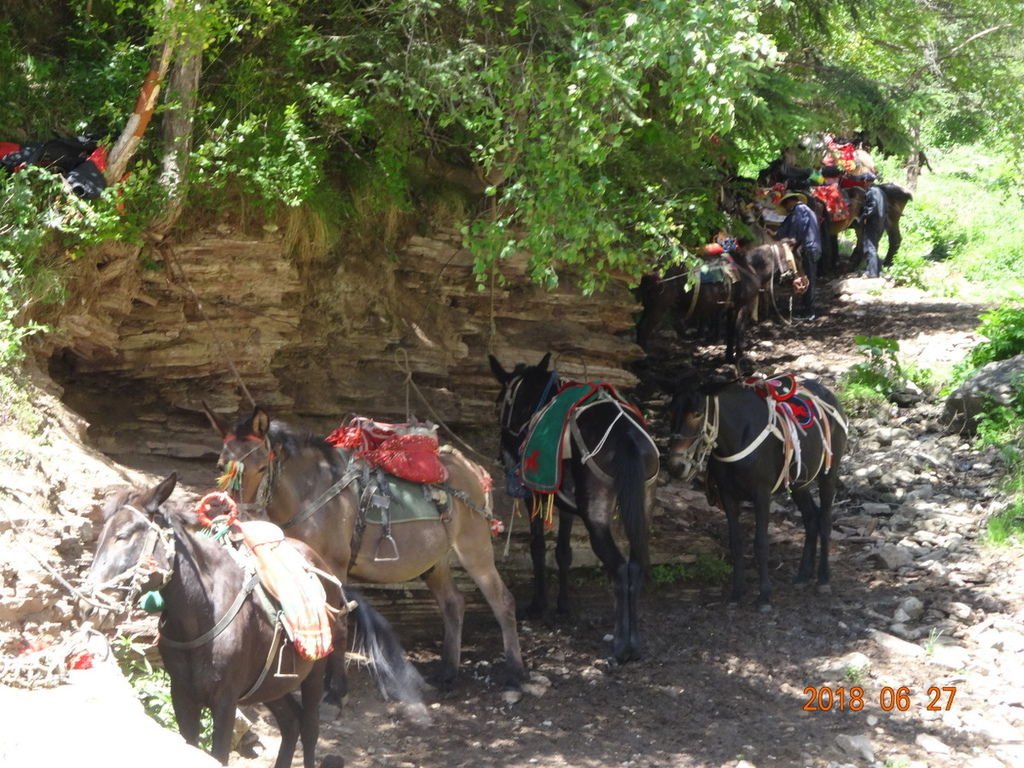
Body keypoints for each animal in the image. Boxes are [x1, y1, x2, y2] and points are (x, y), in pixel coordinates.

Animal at [84, 475, 415, 768]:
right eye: (100, 537)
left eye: (124, 535)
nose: (90, 602)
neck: (202, 610)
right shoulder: (182, 697)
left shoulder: (225, 702)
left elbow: (218, 756)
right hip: (270, 683)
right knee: (291, 721)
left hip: (314, 671)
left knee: (309, 729)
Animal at [206, 405, 528, 688]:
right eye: (220, 466)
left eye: (262, 468)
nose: (237, 517)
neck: (311, 492)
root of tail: (471, 467)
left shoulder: (335, 566)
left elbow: (338, 620)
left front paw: (335, 687)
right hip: (434, 560)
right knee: (453, 603)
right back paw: (448, 672)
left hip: (474, 548)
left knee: (503, 601)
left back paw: (515, 673)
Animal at [485, 354, 655, 663]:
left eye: (500, 401)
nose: (505, 454)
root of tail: (626, 435)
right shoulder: (565, 506)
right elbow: (564, 552)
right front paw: (563, 604)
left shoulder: (536, 497)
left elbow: (538, 547)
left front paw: (538, 604)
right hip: (642, 508)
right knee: (635, 567)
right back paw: (634, 643)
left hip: (596, 518)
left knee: (620, 569)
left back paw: (623, 646)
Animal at [663, 376, 847, 610]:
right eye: (669, 413)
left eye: (697, 413)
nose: (676, 466)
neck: (738, 436)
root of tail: (829, 394)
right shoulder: (728, 496)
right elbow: (736, 543)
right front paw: (737, 593)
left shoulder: (761, 494)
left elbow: (761, 543)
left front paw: (764, 596)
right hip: (799, 482)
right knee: (811, 518)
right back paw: (803, 575)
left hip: (828, 474)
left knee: (824, 521)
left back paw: (823, 579)